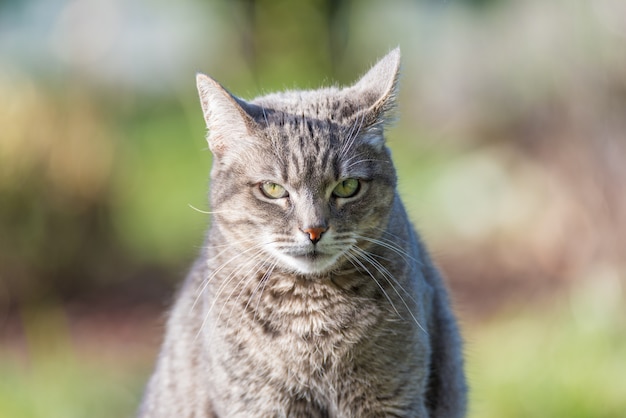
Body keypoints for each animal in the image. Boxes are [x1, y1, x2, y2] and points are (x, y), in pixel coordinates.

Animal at [139, 49, 466, 418]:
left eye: (348, 186)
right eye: (272, 189)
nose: (314, 229)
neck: (313, 316)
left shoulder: (392, 398)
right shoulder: (259, 403)